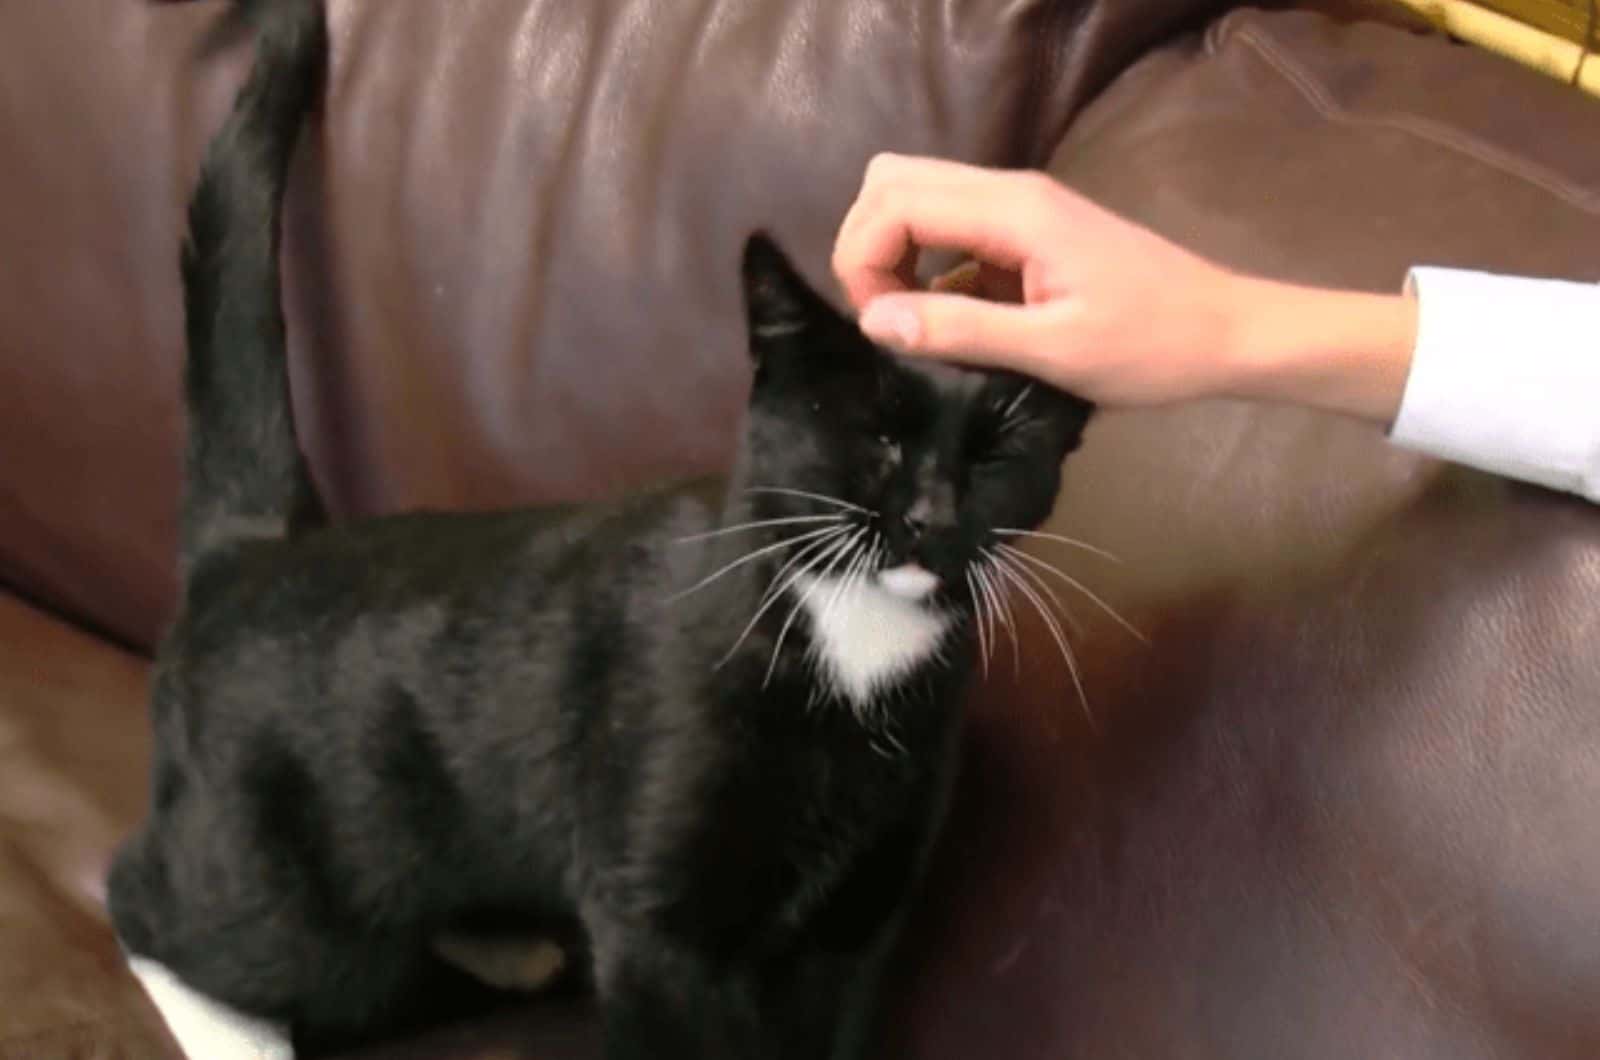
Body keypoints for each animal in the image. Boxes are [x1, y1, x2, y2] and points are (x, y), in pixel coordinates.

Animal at [109, 4, 1088, 1056]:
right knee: (148, 900)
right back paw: (235, 1029)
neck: (852, 643)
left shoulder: (861, 917)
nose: (930, 518)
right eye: (876, 434)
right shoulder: (656, 917)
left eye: (994, 460)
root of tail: (259, 546)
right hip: (293, 901)